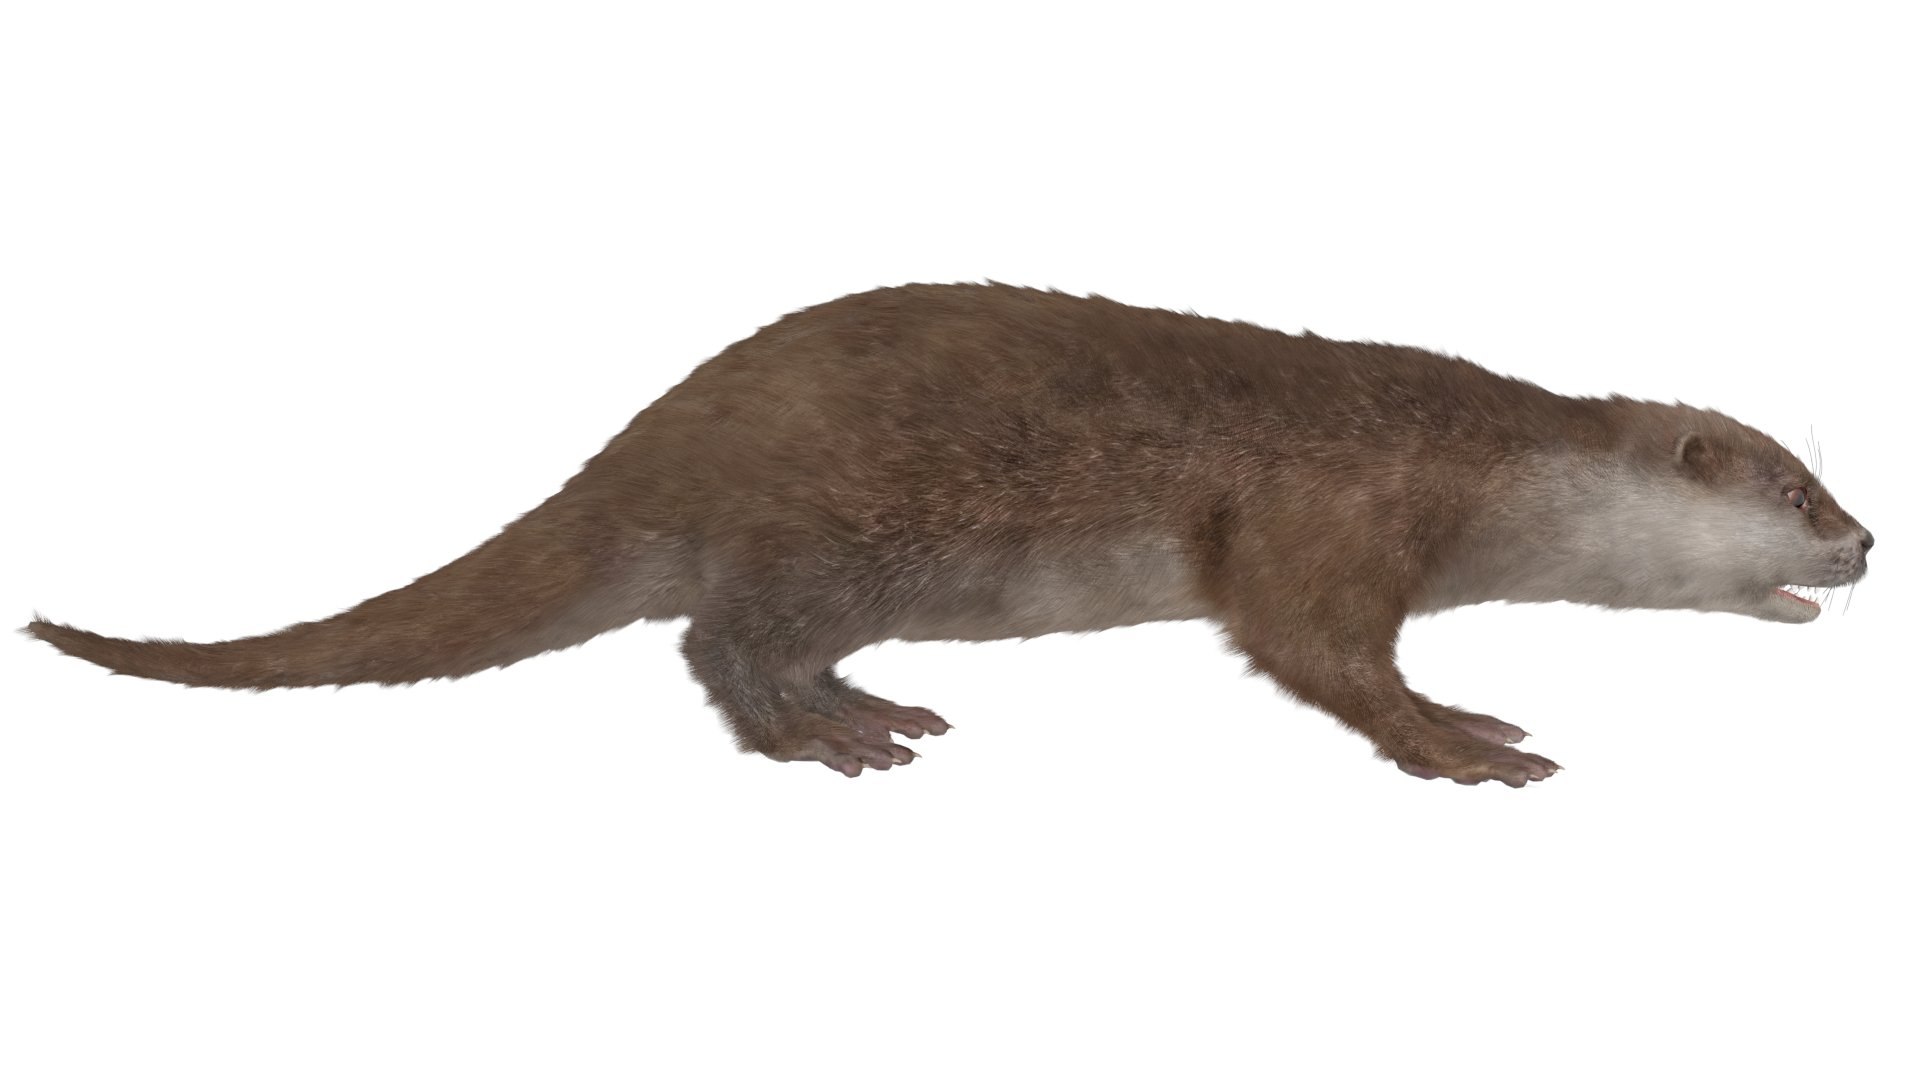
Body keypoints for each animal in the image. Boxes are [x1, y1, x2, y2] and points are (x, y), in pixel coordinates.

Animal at [25, 283, 1874, 786]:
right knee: (719, 638)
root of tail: (660, 441)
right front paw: (1457, 735)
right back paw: (832, 733)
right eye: (1792, 489)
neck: (1469, 459)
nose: (1866, 545)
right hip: (828, 538)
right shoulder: (1332, 510)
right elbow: (1308, 644)